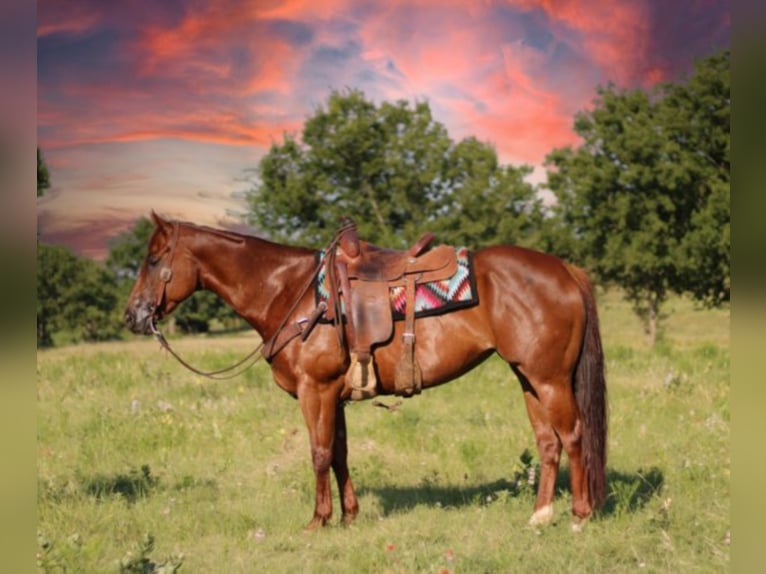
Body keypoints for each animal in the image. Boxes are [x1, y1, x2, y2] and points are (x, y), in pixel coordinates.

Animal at [124, 210, 608, 532]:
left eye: (153, 260)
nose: (132, 316)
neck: (291, 293)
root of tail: (565, 269)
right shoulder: (334, 396)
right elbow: (339, 453)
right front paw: (349, 516)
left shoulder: (314, 390)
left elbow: (319, 454)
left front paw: (319, 520)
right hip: (528, 378)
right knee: (548, 442)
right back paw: (540, 516)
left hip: (549, 379)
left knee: (573, 436)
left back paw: (580, 515)